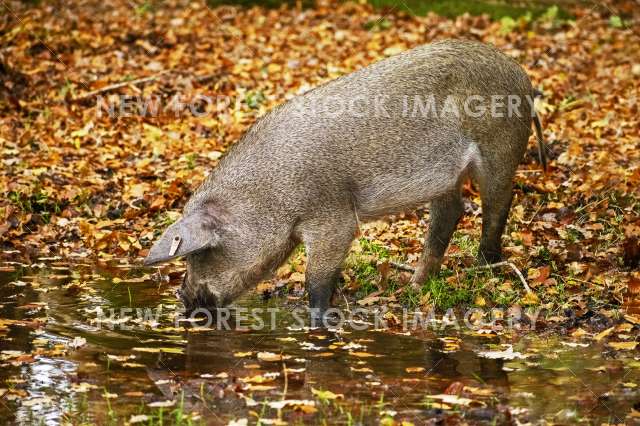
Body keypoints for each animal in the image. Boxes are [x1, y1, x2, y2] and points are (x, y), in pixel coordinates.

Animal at [144, 39, 546, 318]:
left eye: (202, 254)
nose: (182, 296)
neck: (270, 193)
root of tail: (523, 77)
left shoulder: (331, 215)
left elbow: (317, 278)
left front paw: (319, 320)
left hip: (500, 149)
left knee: (498, 203)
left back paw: (483, 267)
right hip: (447, 177)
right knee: (451, 212)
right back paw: (414, 286)